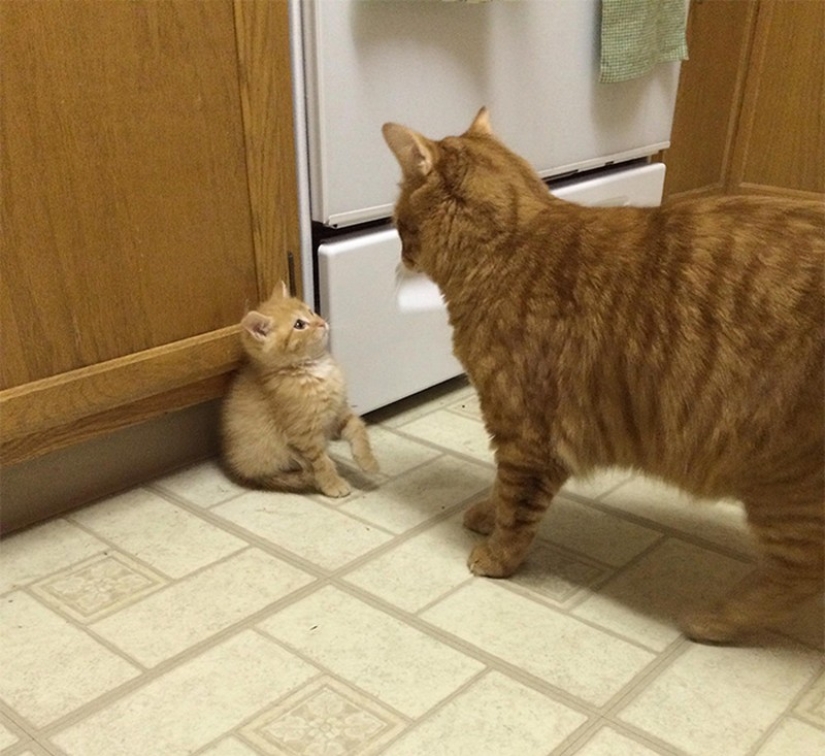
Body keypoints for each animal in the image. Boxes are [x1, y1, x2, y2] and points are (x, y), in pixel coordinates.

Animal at [217, 284, 374, 496]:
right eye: (299, 325)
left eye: (310, 311)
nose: (322, 323)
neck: (314, 369)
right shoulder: (304, 435)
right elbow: (321, 462)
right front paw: (333, 483)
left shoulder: (339, 412)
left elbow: (358, 429)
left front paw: (368, 461)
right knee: (279, 476)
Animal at [384, 106, 824, 640]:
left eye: (397, 223)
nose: (399, 257)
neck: (510, 248)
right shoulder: (510, 435)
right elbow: (498, 490)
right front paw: (486, 514)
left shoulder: (526, 438)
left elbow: (515, 509)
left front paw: (496, 557)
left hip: (783, 488)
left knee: (799, 575)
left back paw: (713, 621)